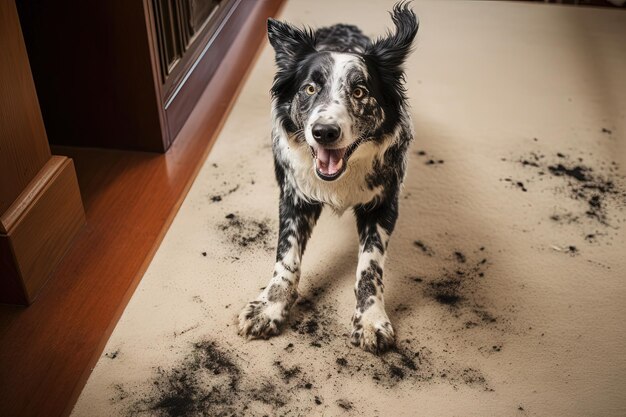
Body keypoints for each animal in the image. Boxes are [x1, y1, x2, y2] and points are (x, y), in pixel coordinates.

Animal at [239, 2, 420, 354]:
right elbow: (286, 258)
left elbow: (369, 267)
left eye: (360, 91)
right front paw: (269, 307)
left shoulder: (383, 203)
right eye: (310, 88)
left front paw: (370, 320)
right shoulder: (294, 197)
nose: (324, 132)